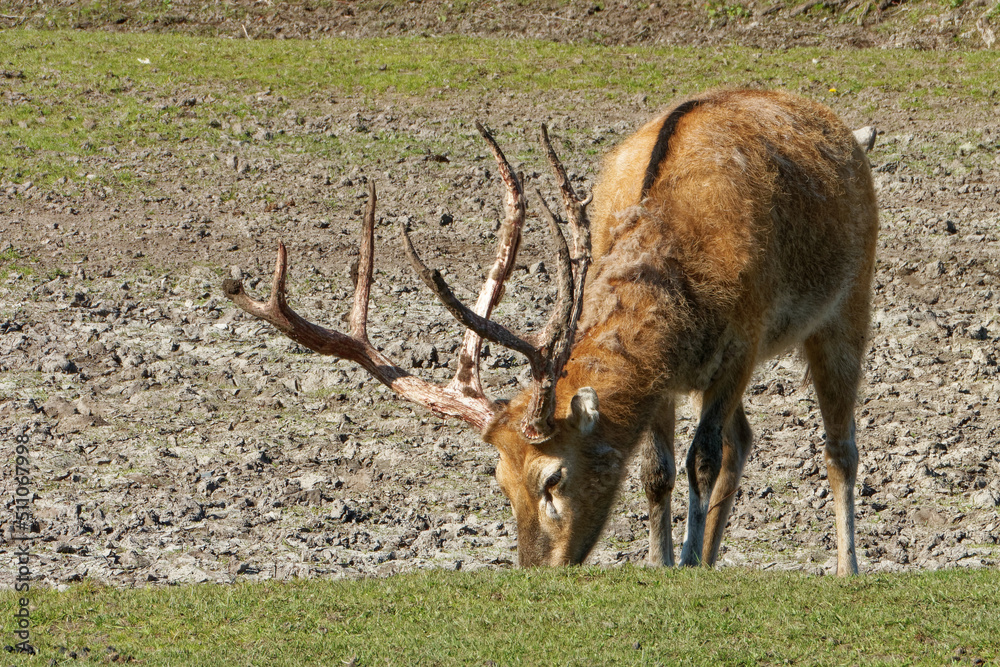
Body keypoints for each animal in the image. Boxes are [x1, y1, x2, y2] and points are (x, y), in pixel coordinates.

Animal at [223, 89, 878, 576]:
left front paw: (687, 561)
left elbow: (701, 459)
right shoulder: (663, 379)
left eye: (554, 477)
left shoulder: (743, 339)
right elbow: (657, 471)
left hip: (849, 301)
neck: (687, 275)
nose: (537, 569)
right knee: (746, 438)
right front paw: (666, 565)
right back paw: (716, 558)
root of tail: (849, 132)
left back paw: (845, 568)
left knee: (837, 445)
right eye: (499, 479)